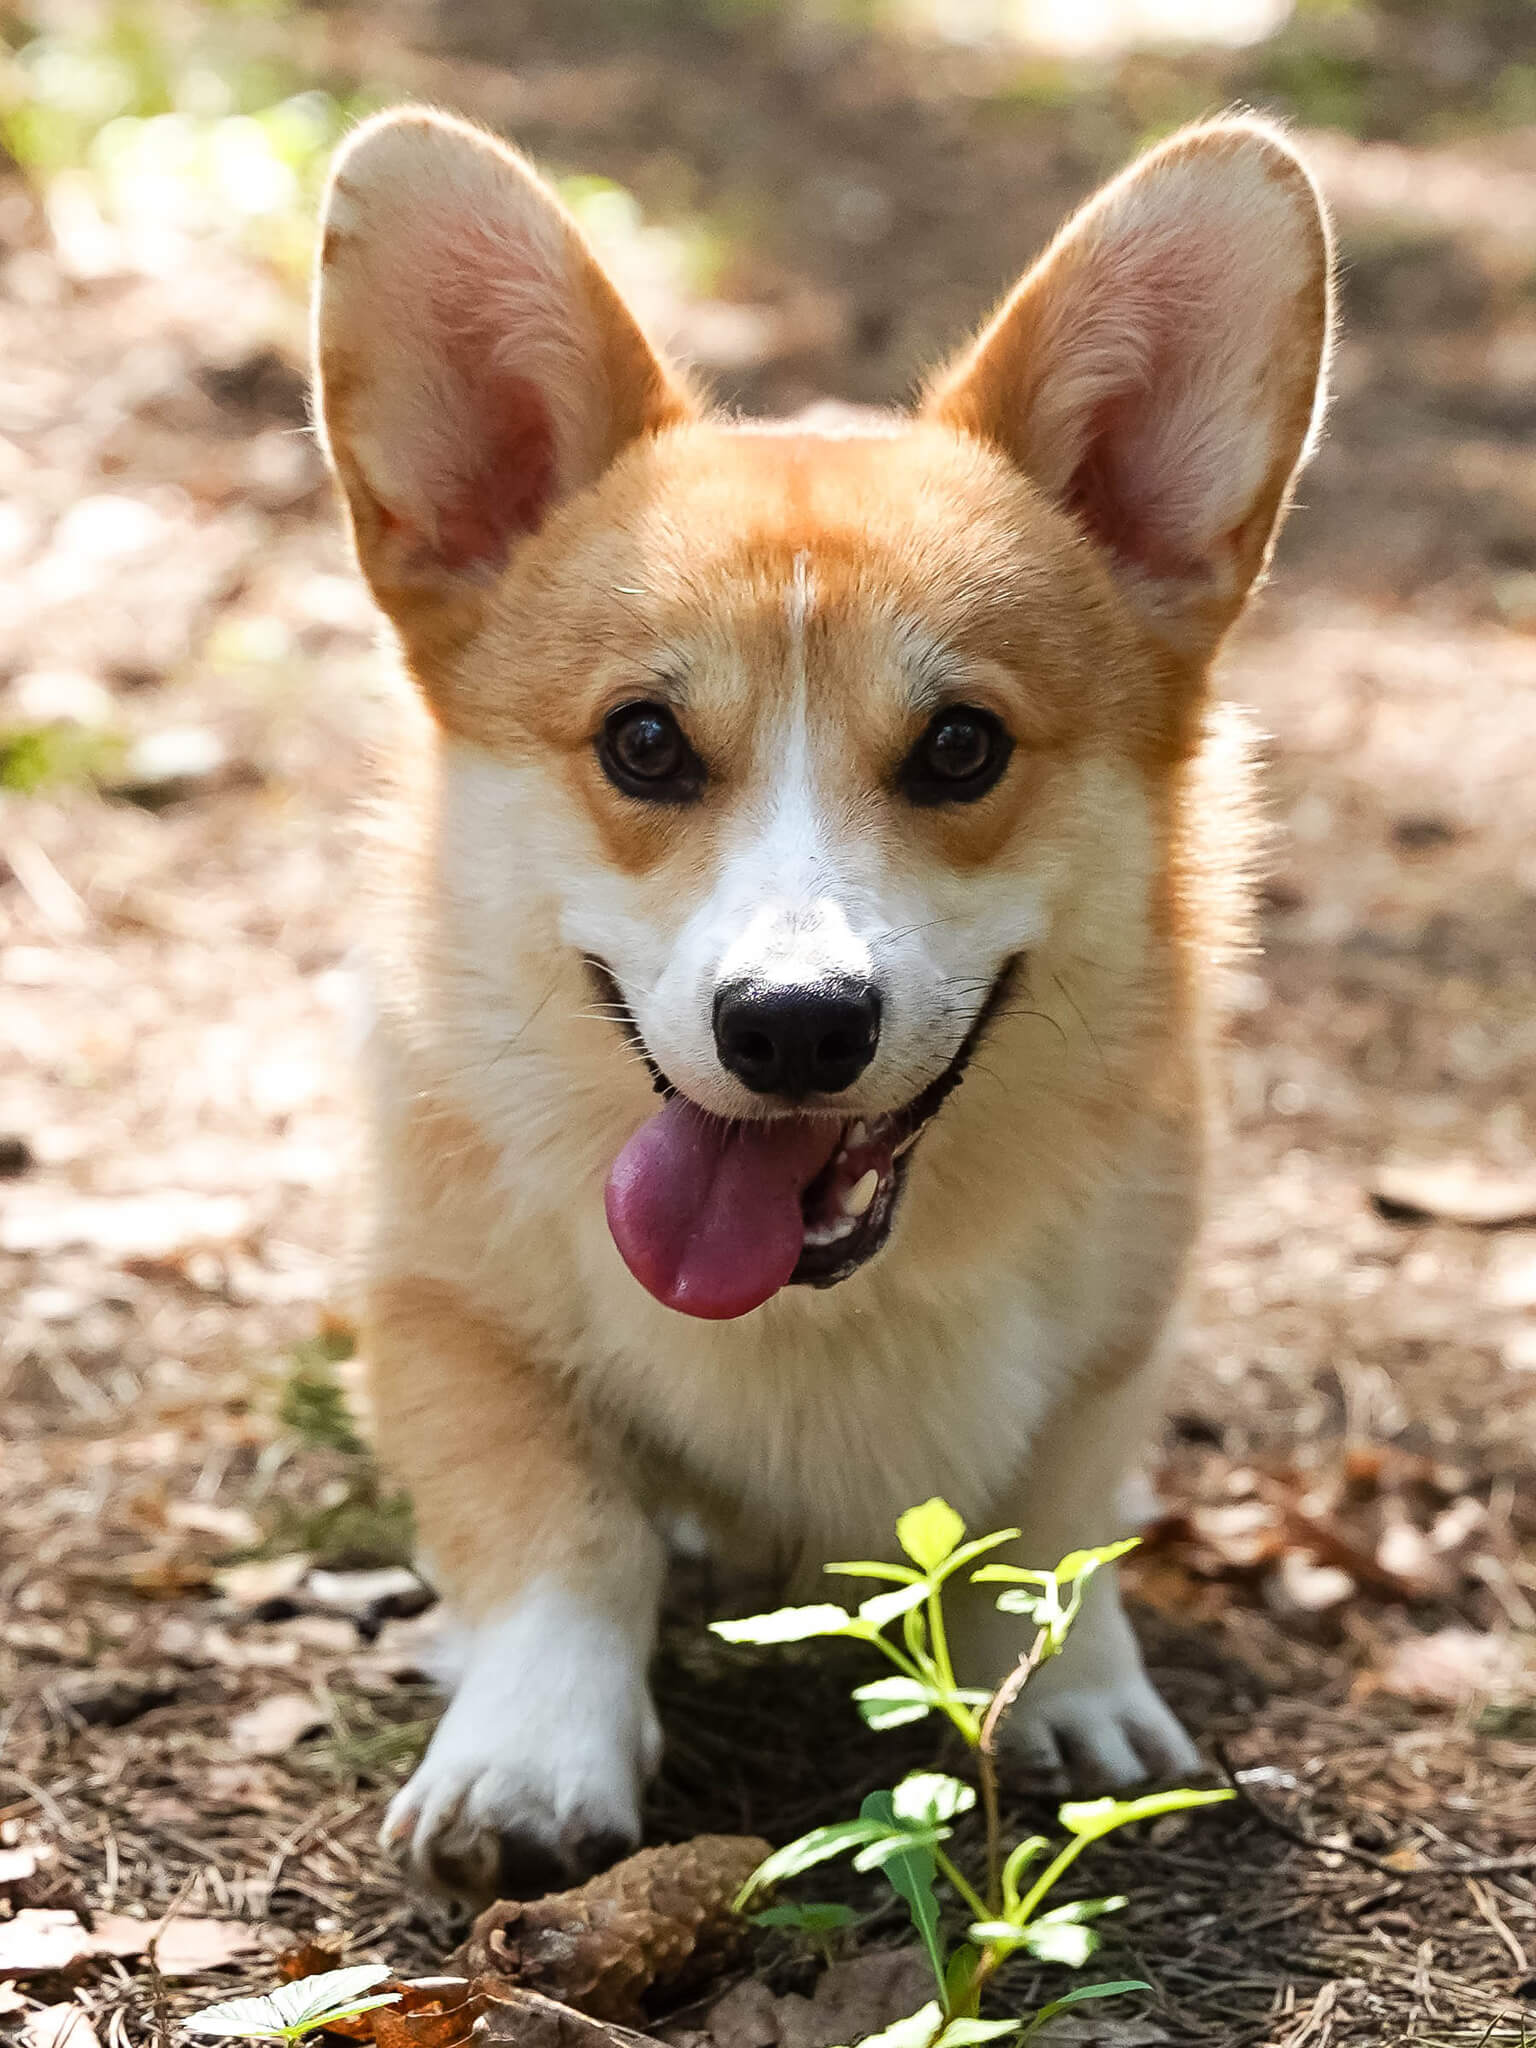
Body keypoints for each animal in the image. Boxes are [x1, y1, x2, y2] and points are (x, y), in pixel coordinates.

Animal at [309, 108, 1335, 1900]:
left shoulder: (1122, 1328)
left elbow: (1059, 1510)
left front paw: (1081, 1690)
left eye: (963, 747)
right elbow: (563, 1528)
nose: (793, 1024)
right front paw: (530, 1758)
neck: (808, 1314)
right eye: (645, 741)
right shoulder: (444, 1310)